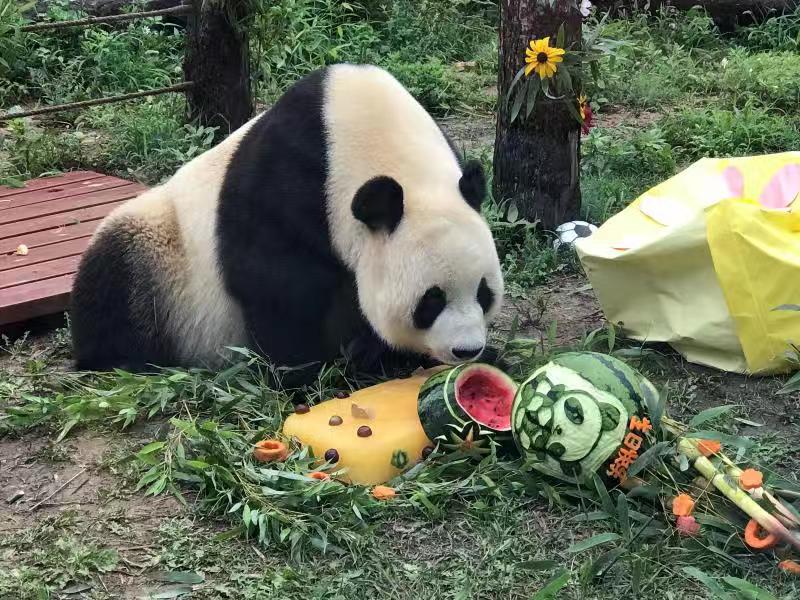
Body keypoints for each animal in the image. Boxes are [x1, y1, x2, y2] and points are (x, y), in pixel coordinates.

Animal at [70, 64, 506, 380]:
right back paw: (120, 359)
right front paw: (306, 373)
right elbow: (275, 282)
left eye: (484, 293)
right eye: (431, 300)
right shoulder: (285, 183)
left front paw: (374, 354)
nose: (467, 350)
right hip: (162, 252)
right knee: (114, 280)